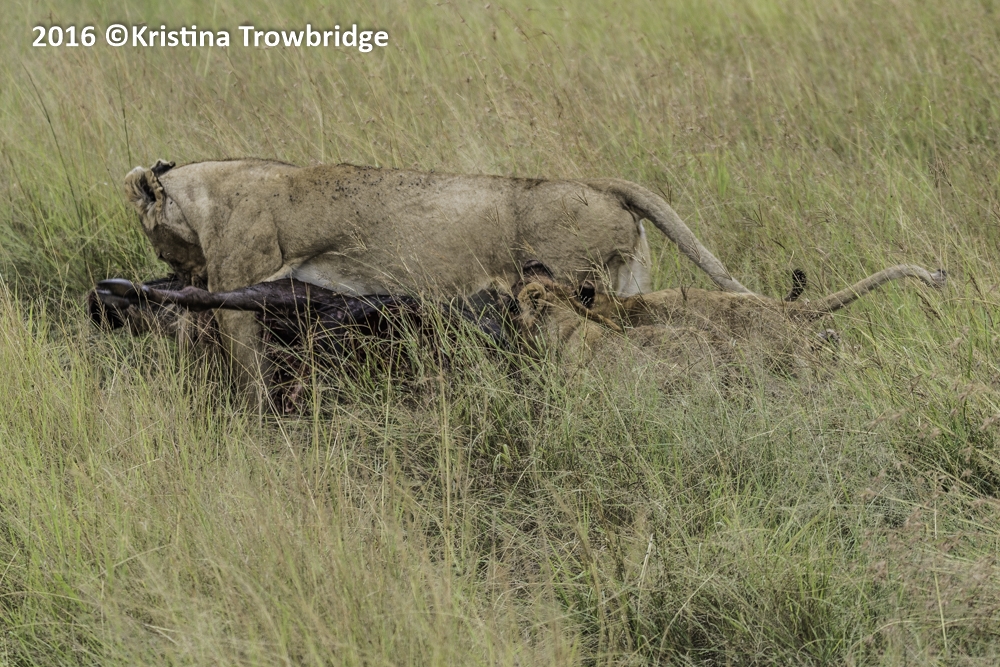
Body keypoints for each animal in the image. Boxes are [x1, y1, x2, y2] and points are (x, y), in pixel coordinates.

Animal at [123, 158, 758, 387]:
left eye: (157, 244)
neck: (204, 191)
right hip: (630, 287)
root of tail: (600, 184)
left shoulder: (238, 278)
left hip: (579, 283)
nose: (175, 271)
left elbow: (244, 360)